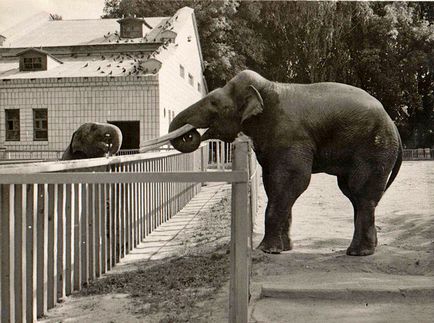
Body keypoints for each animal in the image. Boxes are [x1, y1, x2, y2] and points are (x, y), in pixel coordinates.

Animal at [170, 69, 404, 256]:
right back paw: (367, 247)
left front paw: (266, 250)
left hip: (374, 148)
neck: (268, 87)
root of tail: (393, 124)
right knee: (354, 193)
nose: (190, 134)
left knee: (360, 192)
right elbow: (273, 183)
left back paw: (357, 253)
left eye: (214, 103)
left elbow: (293, 180)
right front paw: (283, 248)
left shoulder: (292, 138)